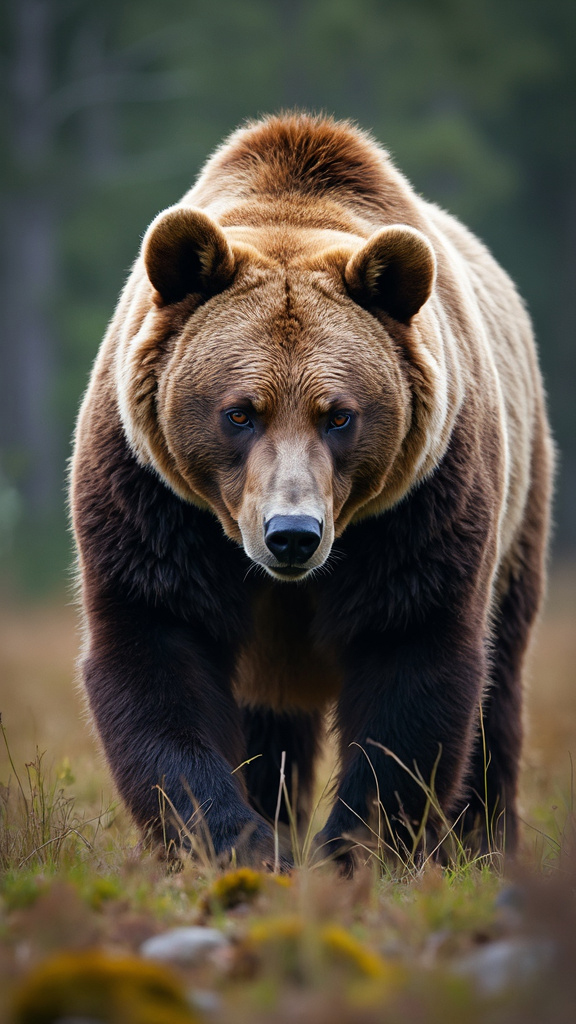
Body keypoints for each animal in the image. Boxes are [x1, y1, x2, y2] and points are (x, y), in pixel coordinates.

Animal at [70, 110, 553, 864]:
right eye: (241, 412)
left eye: (339, 415)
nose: (292, 535)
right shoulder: (151, 498)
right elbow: (156, 643)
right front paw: (238, 841)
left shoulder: (421, 505)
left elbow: (412, 663)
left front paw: (354, 849)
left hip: (521, 512)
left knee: (500, 690)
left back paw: (482, 841)